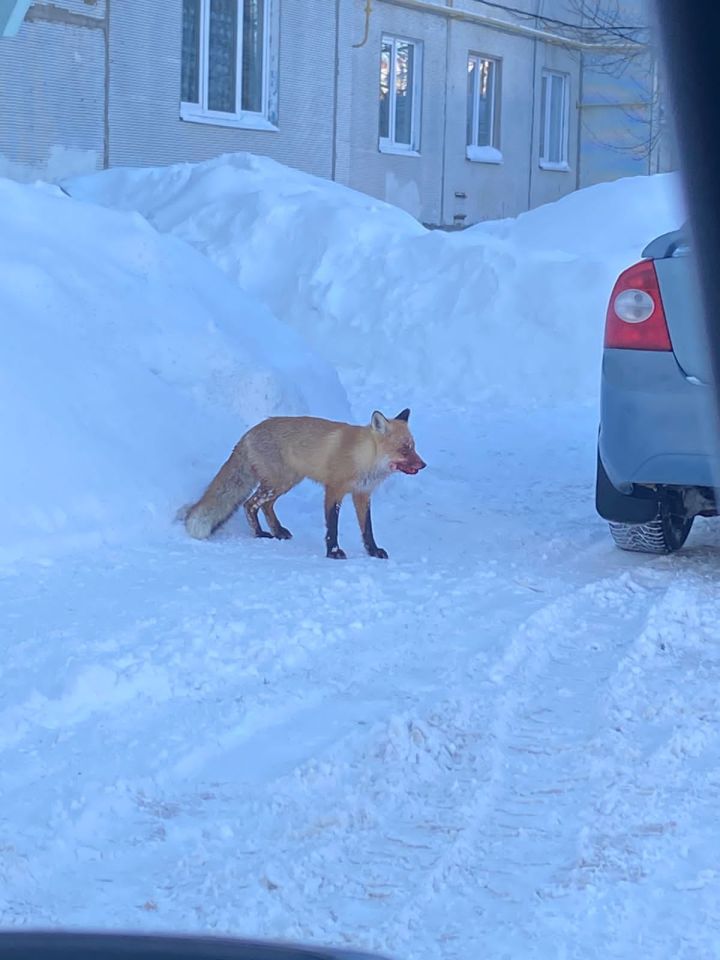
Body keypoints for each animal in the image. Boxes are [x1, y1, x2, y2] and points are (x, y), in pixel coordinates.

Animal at [183, 408, 424, 560]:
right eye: (404, 449)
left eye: (413, 446)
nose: (424, 465)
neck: (364, 458)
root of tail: (248, 433)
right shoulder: (333, 490)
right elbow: (332, 527)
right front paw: (333, 552)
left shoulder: (362, 495)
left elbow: (367, 529)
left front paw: (373, 552)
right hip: (277, 483)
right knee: (249, 504)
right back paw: (260, 533)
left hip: (285, 483)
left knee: (265, 506)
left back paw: (278, 531)